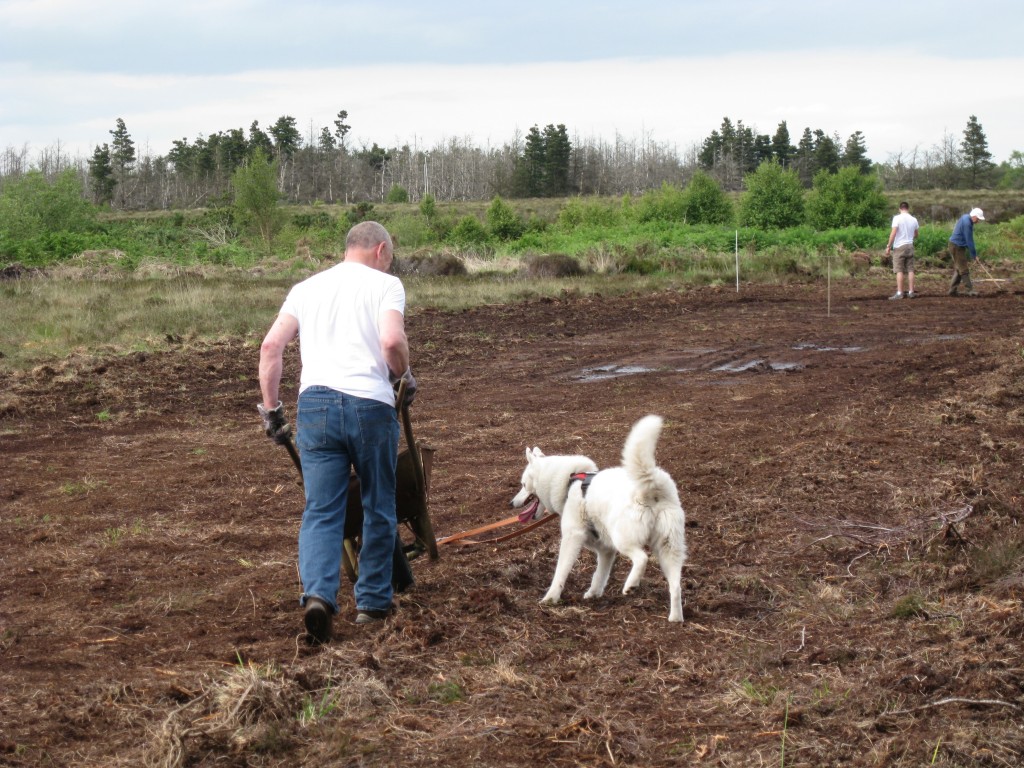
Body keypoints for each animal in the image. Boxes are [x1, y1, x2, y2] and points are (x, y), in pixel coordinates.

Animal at [512, 417, 688, 622]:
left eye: (523, 484)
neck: (569, 483)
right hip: (669, 550)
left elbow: (560, 572)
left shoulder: (572, 537)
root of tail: (653, 486)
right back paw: (675, 618)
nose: (511, 503)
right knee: (676, 586)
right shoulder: (605, 549)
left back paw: (631, 585)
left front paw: (550, 598)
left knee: (642, 558)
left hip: (623, 539)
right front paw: (593, 593)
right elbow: (600, 574)